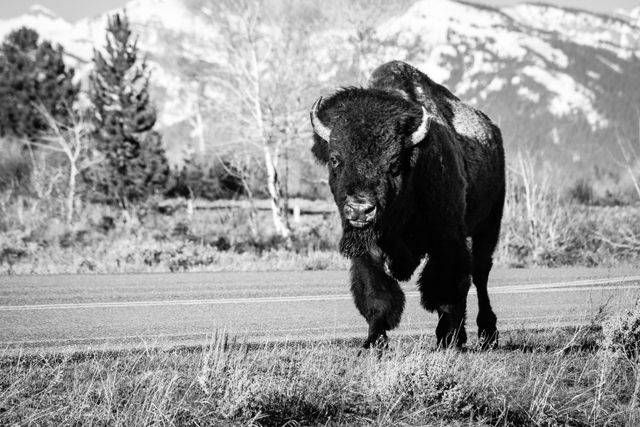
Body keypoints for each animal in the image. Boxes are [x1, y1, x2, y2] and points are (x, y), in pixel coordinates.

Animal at [310, 61, 504, 352]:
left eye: (394, 163)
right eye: (335, 158)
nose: (360, 209)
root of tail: (493, 132)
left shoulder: (447, 239)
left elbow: (445, 291)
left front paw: (448, 339)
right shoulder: (369, 250)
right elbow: (377, 294)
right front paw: (374, 341)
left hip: (489, 224)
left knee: (479, 275)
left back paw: (486, 333)